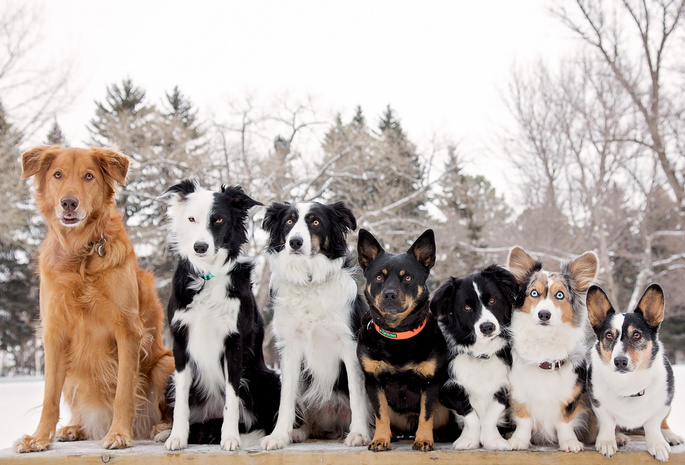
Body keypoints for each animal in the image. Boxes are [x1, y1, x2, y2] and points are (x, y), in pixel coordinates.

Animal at [14, 145, 174, 450]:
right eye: (57, 174)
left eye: (88, 176)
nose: (69, 202)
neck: (80, 253)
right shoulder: (54, 332)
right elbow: (49, 396)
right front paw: (39, 438)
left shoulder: (127, 329)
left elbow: (123, 390)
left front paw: (119, 433)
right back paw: (74, 429)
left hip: (165, 363)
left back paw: (160, 427)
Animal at [356, 228, 446, 450]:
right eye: (379, 277)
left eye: (407, 278)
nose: (389, 294)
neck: (397, 335)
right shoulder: (373, 382)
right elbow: (381, 415)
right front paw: (380, 439)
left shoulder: (430, 383)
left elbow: (426, 414)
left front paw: (424, 439)